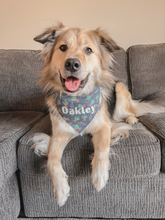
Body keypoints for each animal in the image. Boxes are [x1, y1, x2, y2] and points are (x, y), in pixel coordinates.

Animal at [32, 23, 164, 207]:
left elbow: (102, 148)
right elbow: (52, 159)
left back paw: (131, 118)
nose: (72, 64)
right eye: (63, 47)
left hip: (120, 88)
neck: (78, 101)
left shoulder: (104, 126)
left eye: (88, 50)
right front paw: (60, 189)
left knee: (128, 112)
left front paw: (100, 176)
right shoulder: (59, 133)